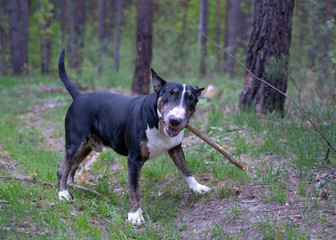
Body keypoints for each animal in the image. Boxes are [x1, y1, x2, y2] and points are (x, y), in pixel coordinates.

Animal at [57, 47, 210, 224]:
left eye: (192, 98)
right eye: (170, 93)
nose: (175, 120)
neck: (156, 121)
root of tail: (79, 96)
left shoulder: (175, 148)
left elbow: (185, 169)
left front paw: (197, 187)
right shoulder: (134, 160)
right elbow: (133, 188)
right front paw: (135, 215)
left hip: (87, 146)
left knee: (72, 167)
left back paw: (73, 188)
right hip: (75, 143)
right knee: (63, 169)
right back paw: (63, 194)